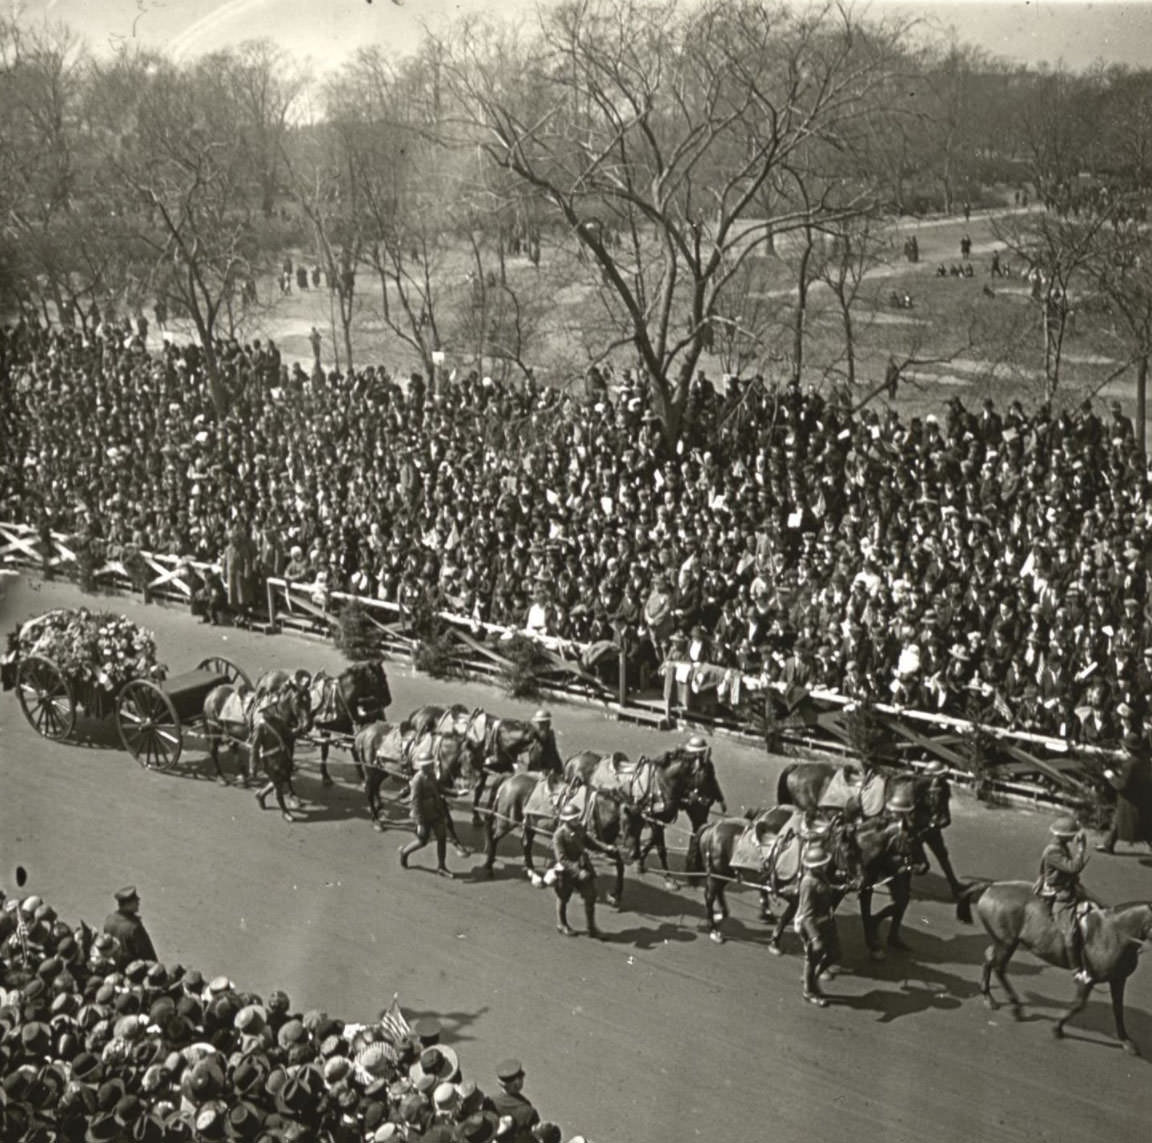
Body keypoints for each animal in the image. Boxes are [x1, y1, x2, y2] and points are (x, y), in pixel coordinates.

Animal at [481, 755, 626, 907]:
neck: (599, 807)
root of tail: (510, 779)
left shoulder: (599, 842)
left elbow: (617, 860)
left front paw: (615, 895)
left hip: (530, 823)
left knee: (525, 844)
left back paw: (533, 874)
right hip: (507, 821)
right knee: (494, 838)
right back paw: (489, 866)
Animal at [953, 884, 1152, 1055]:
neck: (1114, 932)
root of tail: (991, 886)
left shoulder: (1118, 980)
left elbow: (1118, 1010)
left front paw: (1126, 1041)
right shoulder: (1088, 978)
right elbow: (1078, 1004)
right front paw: (1057, 1028)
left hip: (1003, 942)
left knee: (989, 959)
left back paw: (989, 997)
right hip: (1007, 943)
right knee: (999, 968)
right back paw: (1016, 1008)